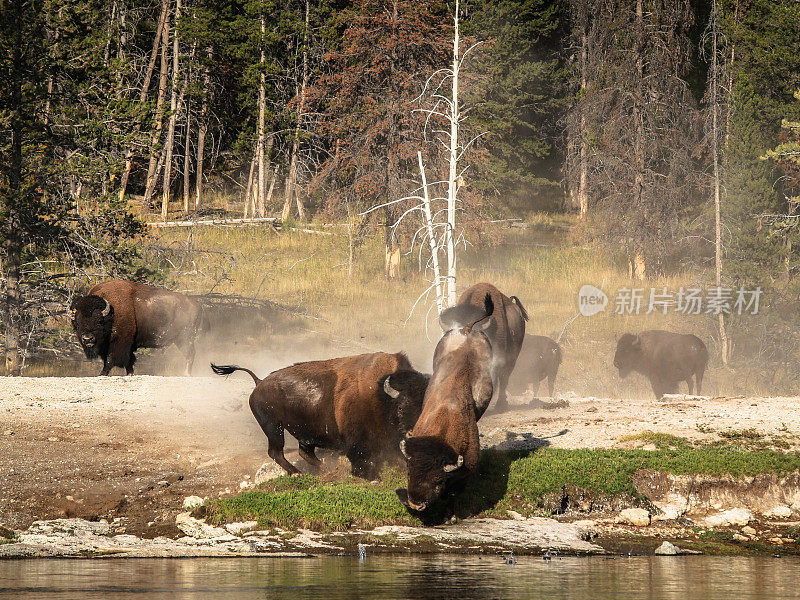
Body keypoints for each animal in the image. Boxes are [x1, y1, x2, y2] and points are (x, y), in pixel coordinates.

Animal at [71, 280, 203, 376]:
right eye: (78, 323)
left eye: (98, 321)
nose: (87, 339)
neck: (111, 314)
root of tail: (196, 304)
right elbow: (128, 360)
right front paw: (130, 373)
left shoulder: (119, 343)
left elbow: (110, 359)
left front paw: (102, 373)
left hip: (185, 339)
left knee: (190, 354)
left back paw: (186, 373)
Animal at [209, 354, 428, 480]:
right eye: (402, 406)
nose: (414, 433)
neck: (380, 395)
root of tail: (259, 382)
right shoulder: (358, 442)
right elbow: (361, 460)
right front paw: (371, 477)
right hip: (273, 427)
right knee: (276, 452)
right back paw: (298, 474)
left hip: (302, 432)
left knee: (304, 452)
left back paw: (325, 469)